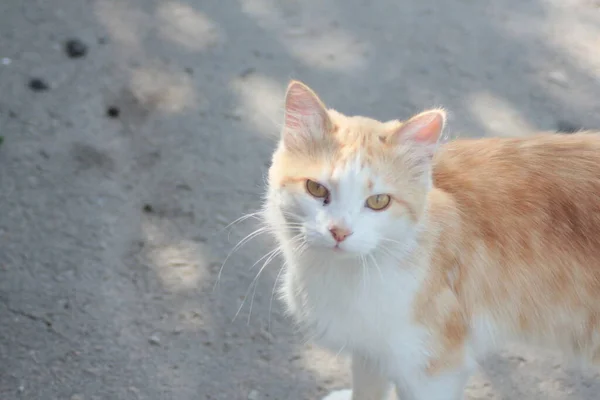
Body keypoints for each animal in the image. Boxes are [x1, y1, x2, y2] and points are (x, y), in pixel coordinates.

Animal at [264, 79, 600, 400]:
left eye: (378, 201)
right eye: (316, 189)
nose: (339, 231)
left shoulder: (433, 371)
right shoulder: (370, 350)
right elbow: (367, 390)